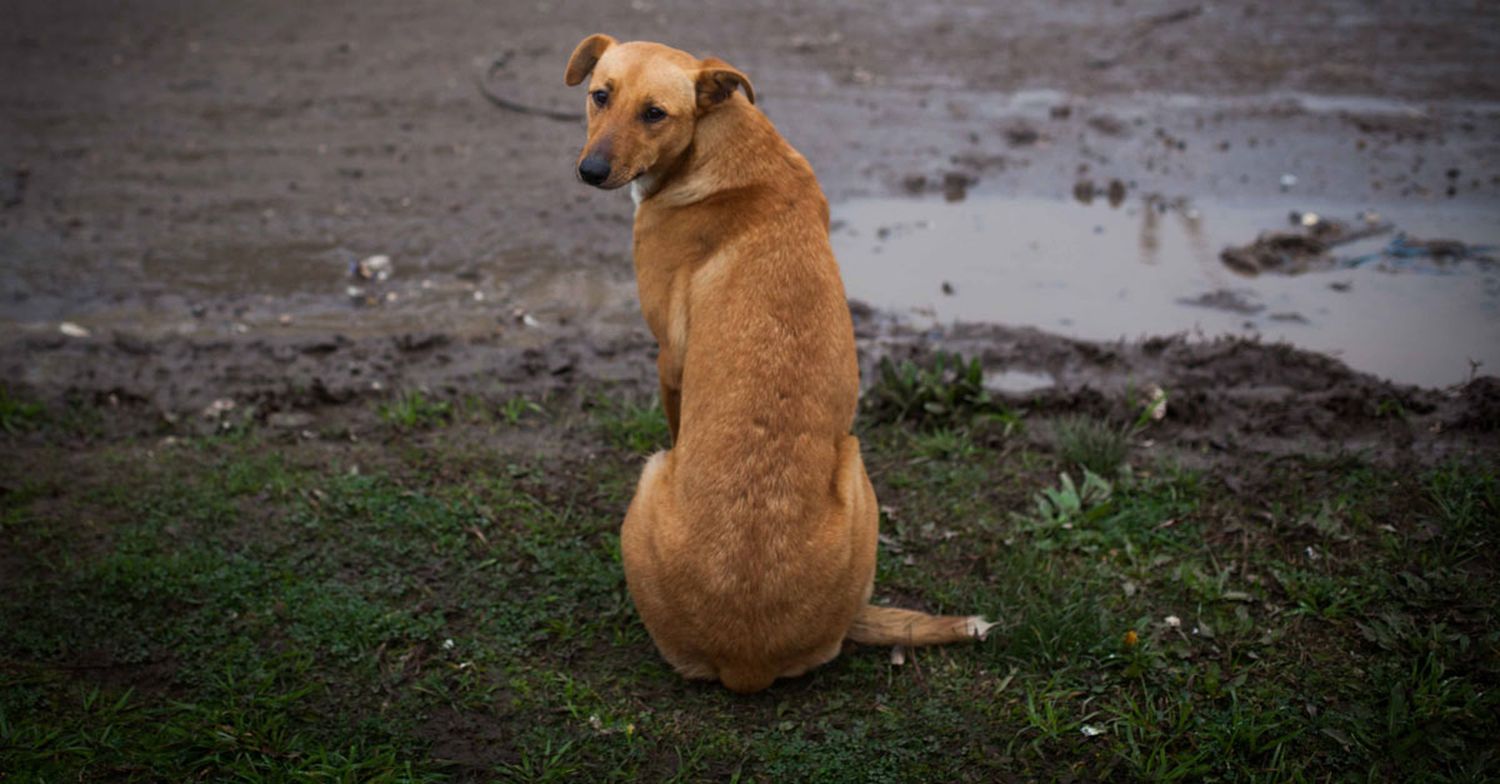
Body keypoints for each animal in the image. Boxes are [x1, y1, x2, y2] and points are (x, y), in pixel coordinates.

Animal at [564, 33, 996, 692]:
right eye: (599, 96)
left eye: (655, 113)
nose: (589, 172)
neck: (718, 144)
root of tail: (746, 659)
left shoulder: (670, 360)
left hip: (745, 470)